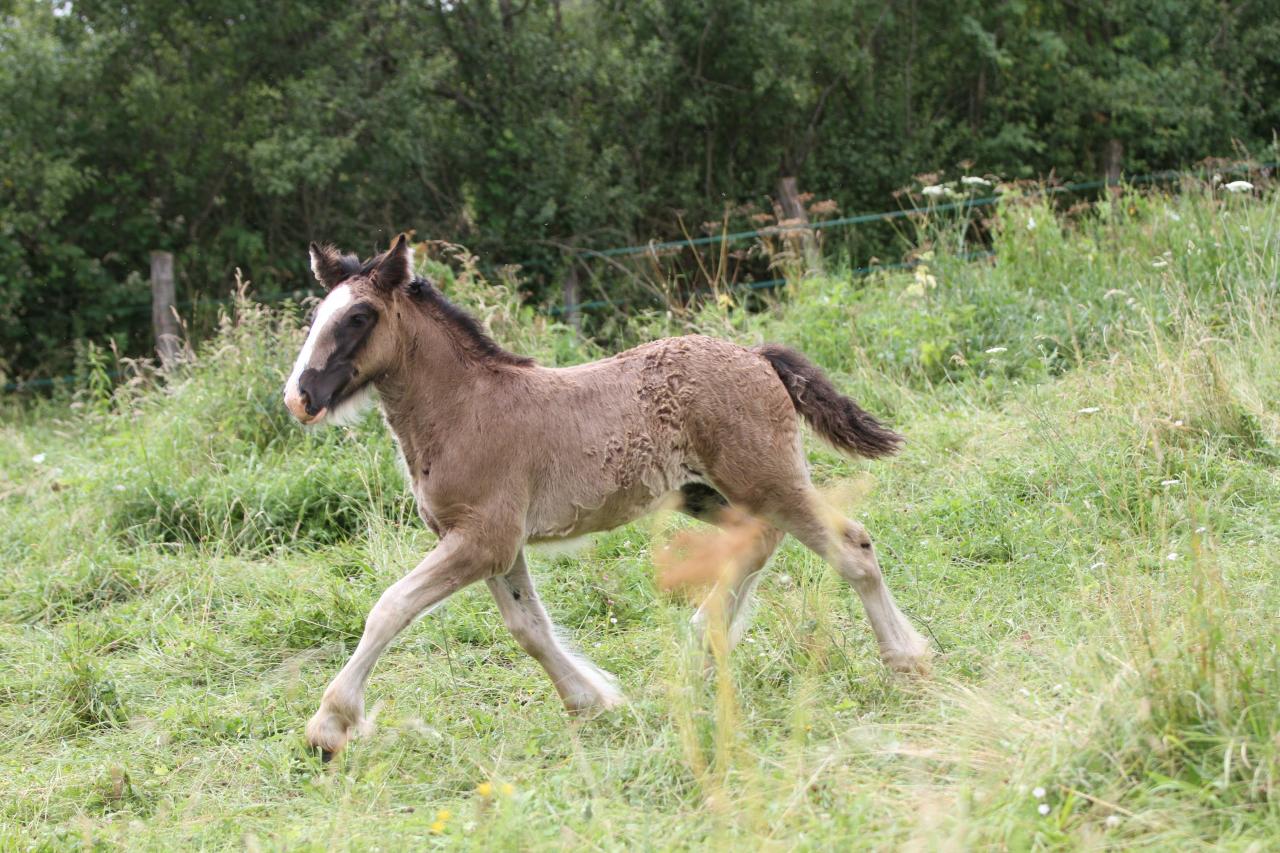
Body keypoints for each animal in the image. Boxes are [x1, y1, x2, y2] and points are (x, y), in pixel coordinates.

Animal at [288, 235, 931, 753]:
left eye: (359, 317)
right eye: (320, 314)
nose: (300, 397)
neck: (465, 409)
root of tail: (755, 355)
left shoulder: (482, 540)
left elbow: (389, 607)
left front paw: (330, 725)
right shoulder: (490, 544)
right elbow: (527, 627)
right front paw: (592, 702)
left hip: (767, 480)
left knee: (852, 547)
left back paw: (906, 660)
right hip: (708, 494)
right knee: (758, 543)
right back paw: (699, 648)